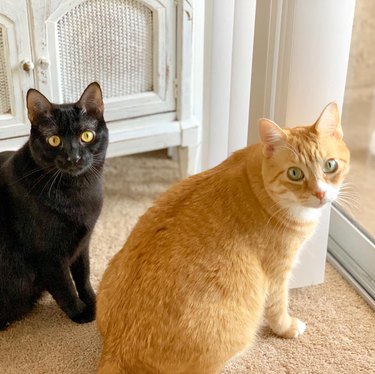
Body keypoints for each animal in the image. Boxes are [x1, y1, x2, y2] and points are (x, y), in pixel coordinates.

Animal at [0, 82, 108, 330]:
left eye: (86, 136)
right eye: (54, 140)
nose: (73, 157)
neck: (78, 194)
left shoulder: (83, 244)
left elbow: (83, 276)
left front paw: (93, 301)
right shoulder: (48, 255)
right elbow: (64, 287)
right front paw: (81, 314)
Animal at [96, 103, 350, 374]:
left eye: (330, 165)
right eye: (295, 173)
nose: (320, 193)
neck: (259, 185)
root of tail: (116, 348)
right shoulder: (277, 274)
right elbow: (278, 308)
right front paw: (288, 327)